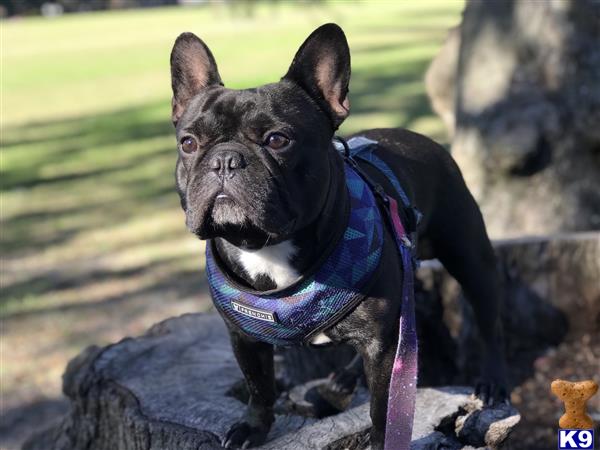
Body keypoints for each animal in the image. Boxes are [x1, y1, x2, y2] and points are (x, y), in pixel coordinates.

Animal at [168, 25, 506, 450]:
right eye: (188, 143)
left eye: (277, 140)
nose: (225, 159)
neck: (267, 248)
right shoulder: (243, 337)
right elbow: (258, 386)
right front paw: (253, 427)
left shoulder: (382, 346)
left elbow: (383, 410)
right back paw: (346, 376)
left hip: (470, 259)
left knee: (489, 323)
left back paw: (492, 383)